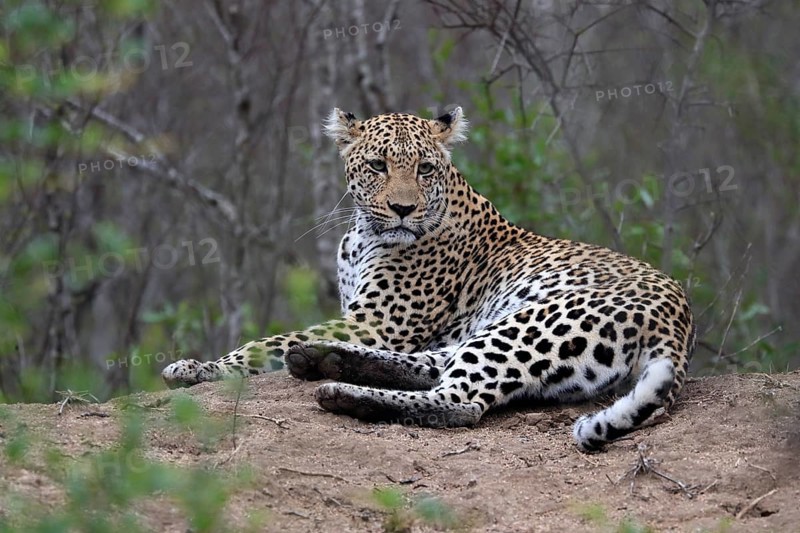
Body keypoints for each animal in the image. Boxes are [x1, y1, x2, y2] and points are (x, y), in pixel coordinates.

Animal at [162, 106, 696, 452]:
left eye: (423, 169)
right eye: (377, 165)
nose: (403, 208)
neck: (362, 233)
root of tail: (679, 327)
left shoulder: (377, 321)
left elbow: (265, 341)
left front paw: (199, 368)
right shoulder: (365, 320)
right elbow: (287, 338)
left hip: (534, 323)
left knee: (459, 400)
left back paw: (343, 392)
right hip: (503, 328)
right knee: (435, 366)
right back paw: (324, 360)